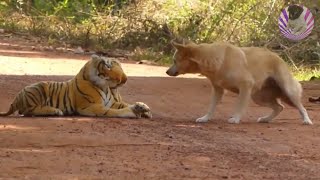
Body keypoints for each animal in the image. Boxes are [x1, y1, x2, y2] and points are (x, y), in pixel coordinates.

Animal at [0, 54, 152, 119]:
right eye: (107, 68)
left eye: (116, 65)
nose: (124, 79)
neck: (105, 87)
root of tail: (16, 99)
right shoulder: (90, 107)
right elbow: (112, 112)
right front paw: (132, 112)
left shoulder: (111, 102)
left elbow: (123, 104)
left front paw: (142, 108)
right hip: (38, 88)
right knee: (28, 111)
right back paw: (55, 111)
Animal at [166, 40, 314, 125]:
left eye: (174, 61)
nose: (166, 72)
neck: (218, 60)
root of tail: (279, 57)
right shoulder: (218, 89)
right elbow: (211, 107)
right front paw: (205, 118)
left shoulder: (245, 86)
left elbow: (239, 105)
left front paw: (236, 119)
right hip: (258, 97)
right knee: (280, 107)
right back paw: (265, 119)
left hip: (287, 91)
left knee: (301, 108)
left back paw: (307, 120)